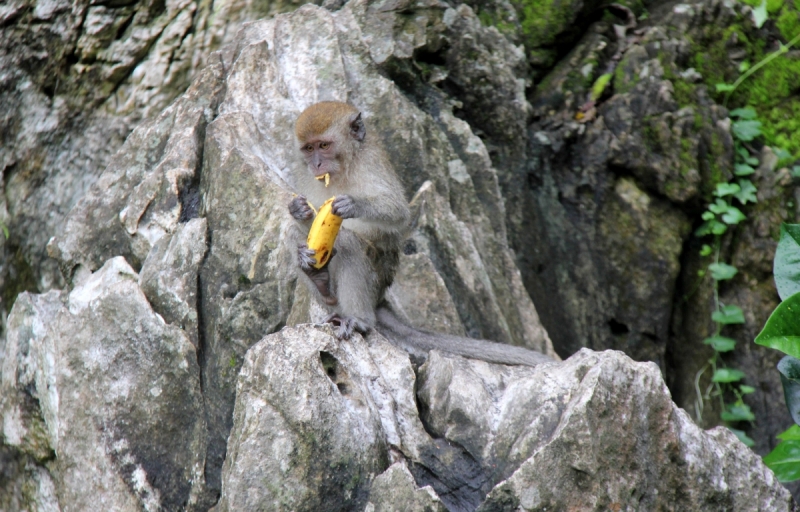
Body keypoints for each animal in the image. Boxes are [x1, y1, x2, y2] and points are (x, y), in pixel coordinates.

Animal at [290, 102, 556, 366]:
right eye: (309, 148)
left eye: (324, 146)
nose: (316, 164)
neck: (344, 167)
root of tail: (379, 298)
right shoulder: (306, 175)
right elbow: (304, 219)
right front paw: (298, 210)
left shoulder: (370, 164)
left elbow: (397, 212)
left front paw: (353, 204)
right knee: (295, 237)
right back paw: (319, 279)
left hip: (376, 278)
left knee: (349, 244)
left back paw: (359, 319)